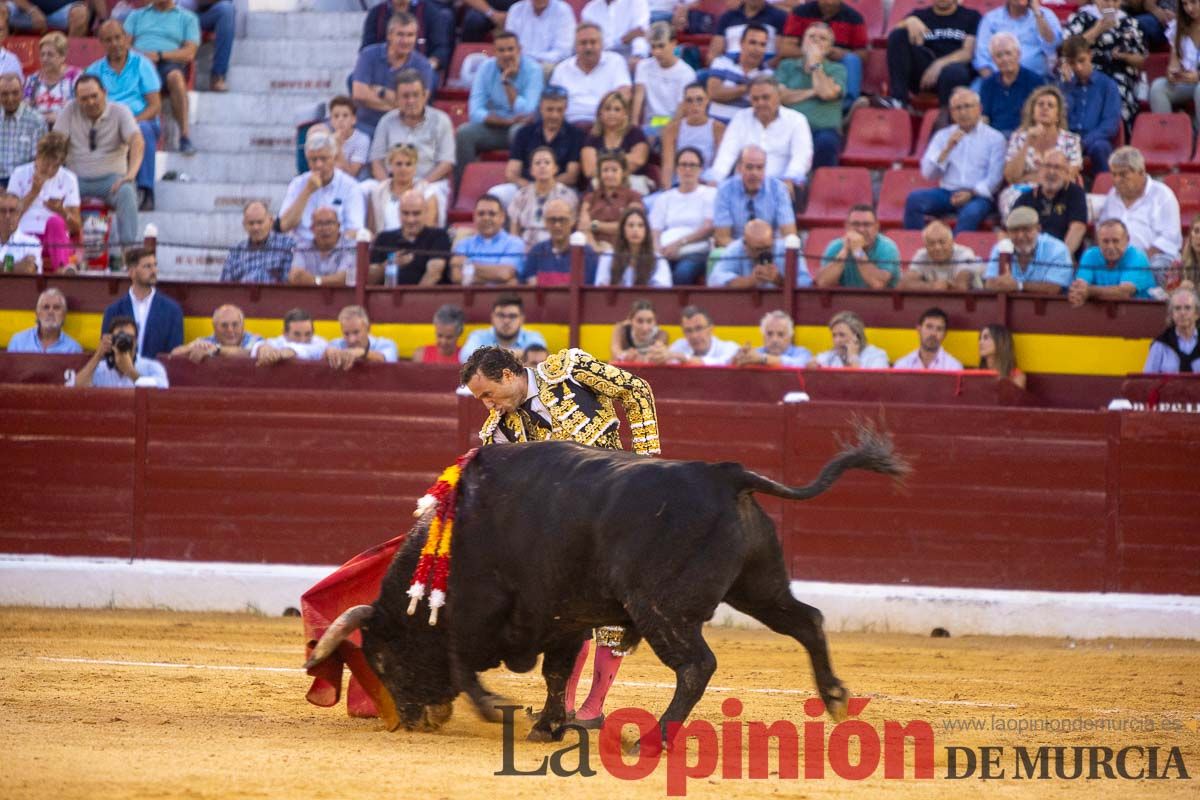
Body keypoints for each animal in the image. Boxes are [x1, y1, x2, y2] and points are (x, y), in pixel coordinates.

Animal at [304, 429, 902, 748]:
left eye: (382, 659)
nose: (412, 721)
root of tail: (726, 474)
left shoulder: (478, 615)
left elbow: (462, 663)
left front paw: (497, 708)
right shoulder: (563, 616)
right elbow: (556, 673)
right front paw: (549, 726)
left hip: (661, 608)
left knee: (697, 665)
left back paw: (657, 737)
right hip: (759, 587)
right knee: (806, 621)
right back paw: (834, 697)